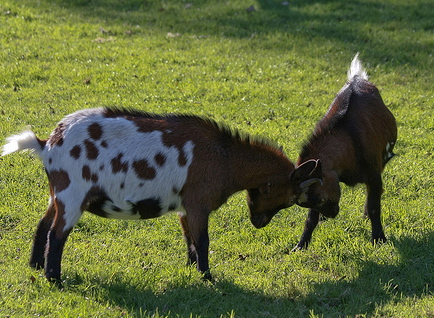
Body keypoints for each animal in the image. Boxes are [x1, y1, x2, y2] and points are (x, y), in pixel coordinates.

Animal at [292, 54, 396, 251]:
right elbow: (310, 219)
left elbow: (374, 207)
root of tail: (358, 78)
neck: (348, 138)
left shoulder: (374, 175)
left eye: (320, 199)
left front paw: (378, 238)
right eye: (309, 203)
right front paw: (301, 245)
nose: (332, 214)